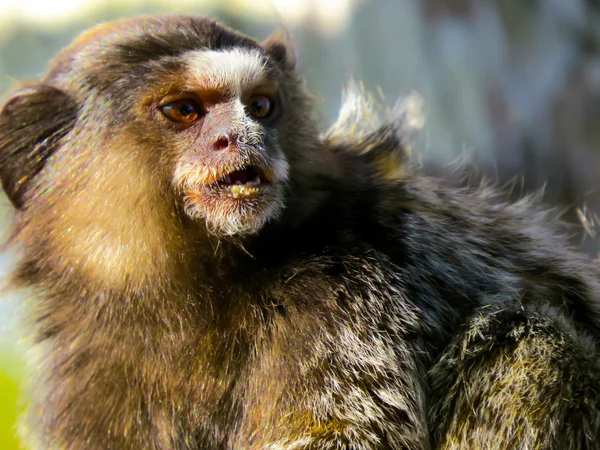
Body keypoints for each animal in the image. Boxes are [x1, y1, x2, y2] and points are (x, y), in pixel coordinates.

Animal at [1, 13, 600, 450]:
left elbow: (337, 431)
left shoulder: (347, 293)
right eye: (184, 110)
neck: (189, 292)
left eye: (260, 107)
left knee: (536, 348)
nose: (242, 136)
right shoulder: (84, 380)